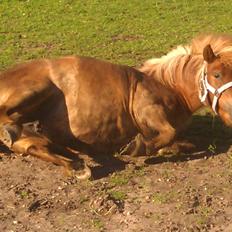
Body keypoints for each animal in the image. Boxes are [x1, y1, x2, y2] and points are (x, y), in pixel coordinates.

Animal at [0, 34, 232, 179]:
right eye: (216, 74)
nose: (231, 109)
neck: (167, 86)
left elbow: (182, 143)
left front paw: (162, 148)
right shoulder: (145, 110)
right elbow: (168, 132)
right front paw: (137, 147)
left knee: (34, 146)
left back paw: (76, 163)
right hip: (36, 88)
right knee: (8, 119)